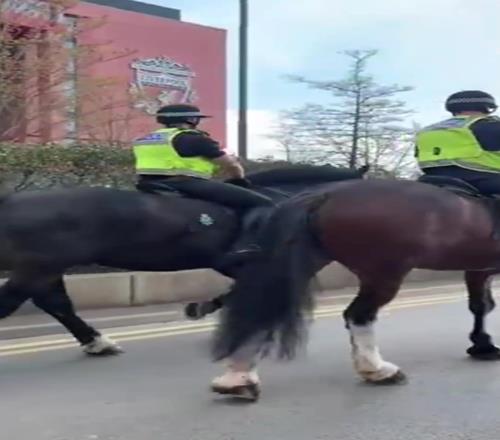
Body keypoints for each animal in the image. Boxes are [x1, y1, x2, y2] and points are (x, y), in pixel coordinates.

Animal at [0, 163, 366, 356]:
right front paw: (202, 308)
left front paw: (202, 307)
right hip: (40, 266)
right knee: (20, 301)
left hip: (46, 268)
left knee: (55, 303)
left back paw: (97, 342)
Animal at [209, 177, 500, 400]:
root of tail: (324, 195)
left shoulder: (479, 269)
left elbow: (480, 305)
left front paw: (482, 345)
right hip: (384, 274)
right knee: (358, 315)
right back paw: (379, 370)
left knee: (267, 307)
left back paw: (238, 378)